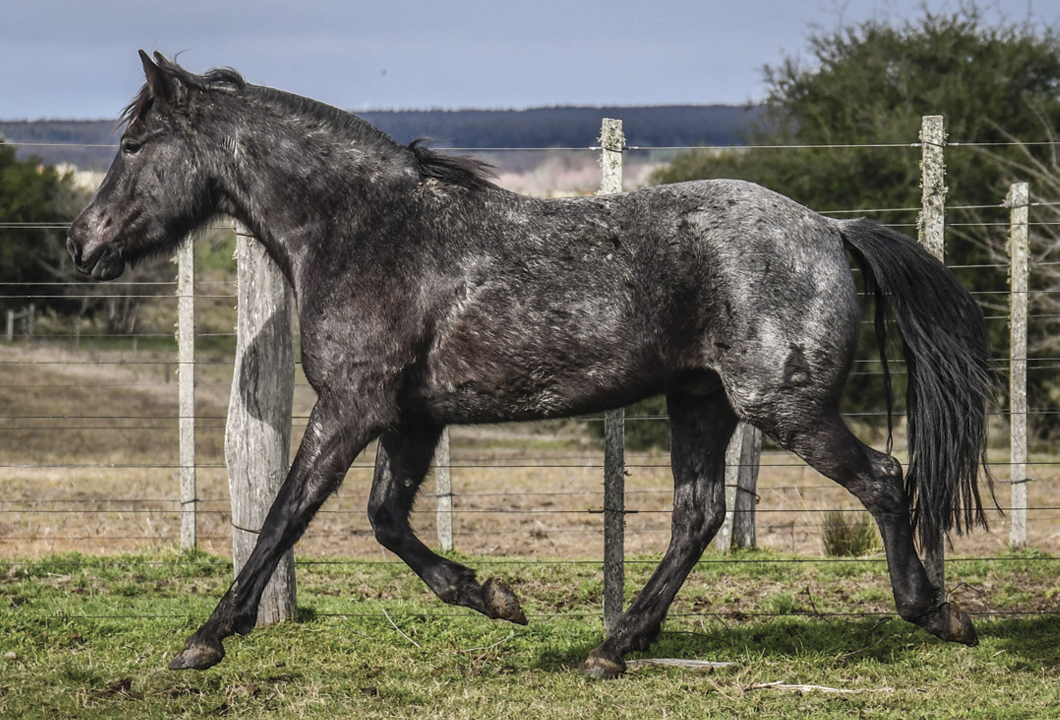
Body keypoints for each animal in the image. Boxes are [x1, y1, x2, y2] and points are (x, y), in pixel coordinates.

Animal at [68, 52, 992, 682]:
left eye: (135, 143)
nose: (83, 241)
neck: (366, 230)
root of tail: (831, 228)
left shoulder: (350, 407)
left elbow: (285, 516)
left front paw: (205, 639)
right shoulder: (410, 418)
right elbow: (386, 521)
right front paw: (495, 598)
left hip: (782, 407)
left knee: (883, 479)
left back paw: (936, 614)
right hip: (702, 400)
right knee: (697, 516)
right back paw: (615, 647)